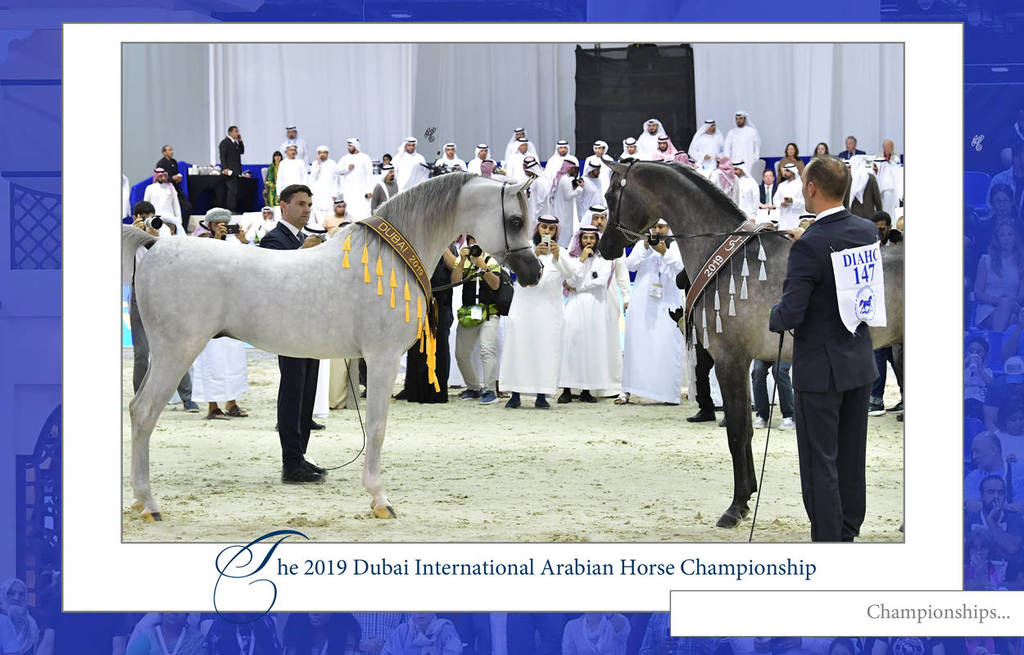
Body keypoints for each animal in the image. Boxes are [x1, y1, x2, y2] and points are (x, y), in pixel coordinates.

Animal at [121, 174, 542, 522]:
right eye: (515, 221)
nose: (534, 272)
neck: (389, 260)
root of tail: (155, 245)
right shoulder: (382, 358)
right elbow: (377, 428)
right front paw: (380, 500)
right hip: (177, 353)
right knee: (144, 413)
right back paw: (150, 504)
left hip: (164, 354)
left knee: (137, 407)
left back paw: (141, 502)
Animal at [597, 160, 904, 529]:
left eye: (610, 195)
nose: (604, 247)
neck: (725, 254)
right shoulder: (743, 363)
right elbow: (746, 431)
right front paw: (746, 499)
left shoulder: (729, 360)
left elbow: (736, 433)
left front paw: (735, 506)